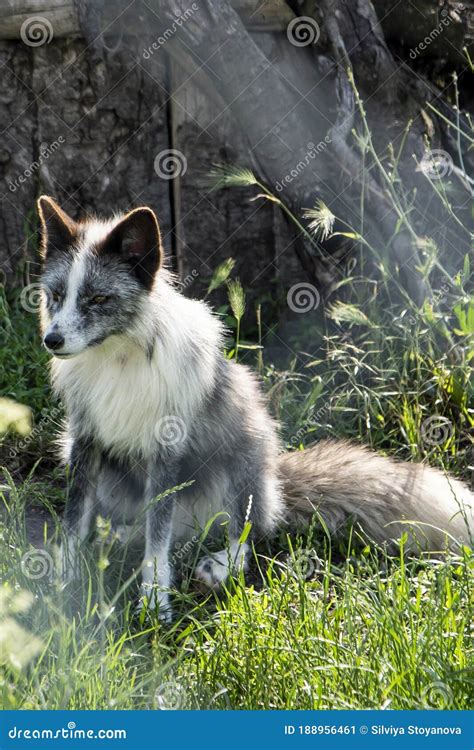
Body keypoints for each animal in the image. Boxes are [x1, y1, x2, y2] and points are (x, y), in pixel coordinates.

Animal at [38, 197, 474, 620]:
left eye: (98, 299)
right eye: (56, 295)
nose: (51, 340)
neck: (116, 360)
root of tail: (276, 482)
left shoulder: (166, 450)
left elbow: (158, 539)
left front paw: (154, 599)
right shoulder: (84, 441)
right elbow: (75, 522)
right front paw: (64, 583)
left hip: (244, 455)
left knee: (245, 533)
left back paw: (219, 564)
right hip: (81, 456)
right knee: (173, 527)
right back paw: (122, 537)